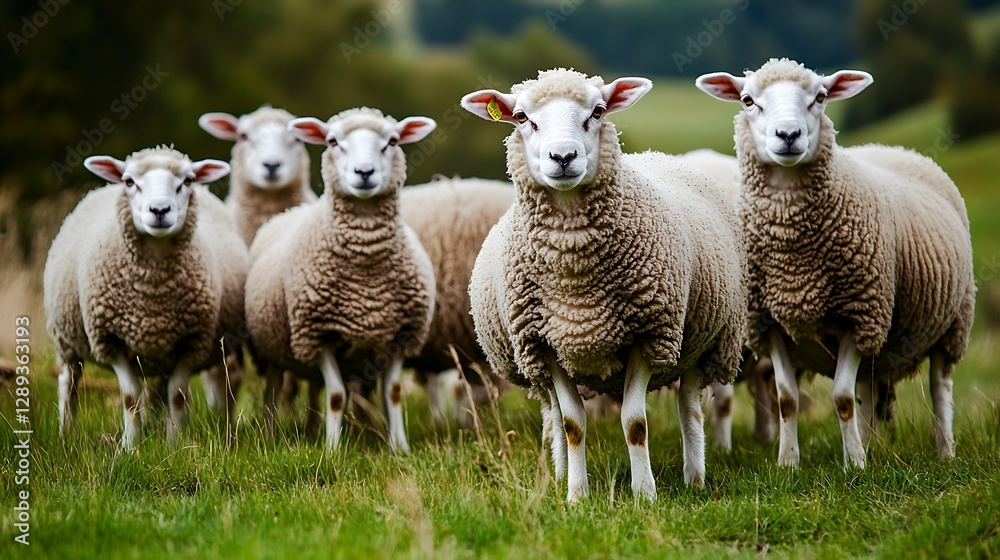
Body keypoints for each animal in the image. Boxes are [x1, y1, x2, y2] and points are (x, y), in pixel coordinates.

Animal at [44, 146, 246, 449]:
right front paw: (130, 446)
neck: (153, 294)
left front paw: (174, 444)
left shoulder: (191, 343)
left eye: (187, 181)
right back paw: (66, 434)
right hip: (66, 341)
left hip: (158, 354)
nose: (159, 210)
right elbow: (129, 397)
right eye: (129, 182)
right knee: (69, 385)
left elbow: (177, 395)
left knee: (159, 391)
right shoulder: (109, 340)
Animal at [245, 107, 437, 452]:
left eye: (392, 141)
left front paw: (399, 447)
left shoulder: (401, 335)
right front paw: (333, 450)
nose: (364, 172)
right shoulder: (318, 334)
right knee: (273, 390)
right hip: (271, 347)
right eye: (332, 141)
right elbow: (335, 395)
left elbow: (393, 394)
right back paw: (270, 434)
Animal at [461, 69, 747, 501]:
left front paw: (644, 494)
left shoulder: (649, 335)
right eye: (523, 118)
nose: (563, 157)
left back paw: (694, 478)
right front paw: (576, 495)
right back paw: (559, 473)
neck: (575, 276)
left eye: (597, 111)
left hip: (707, 340)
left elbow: (634, 422)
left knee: (689, 406)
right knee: (553, 414)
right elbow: (572, 424)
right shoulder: (545, 345)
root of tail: (657, 155)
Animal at [696, 58, 976, 468]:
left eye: (821, 97)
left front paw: (854, 465)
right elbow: (787, 398)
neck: (794, 262)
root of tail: (891, 147)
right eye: (748, 100)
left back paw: (944, 451)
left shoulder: (859, 316)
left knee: (940, 387)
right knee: (868, 391)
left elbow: (841, 397)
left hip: (954, 322)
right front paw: (789, 463)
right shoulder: (769, 322)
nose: (788, 134)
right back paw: (871, 443)